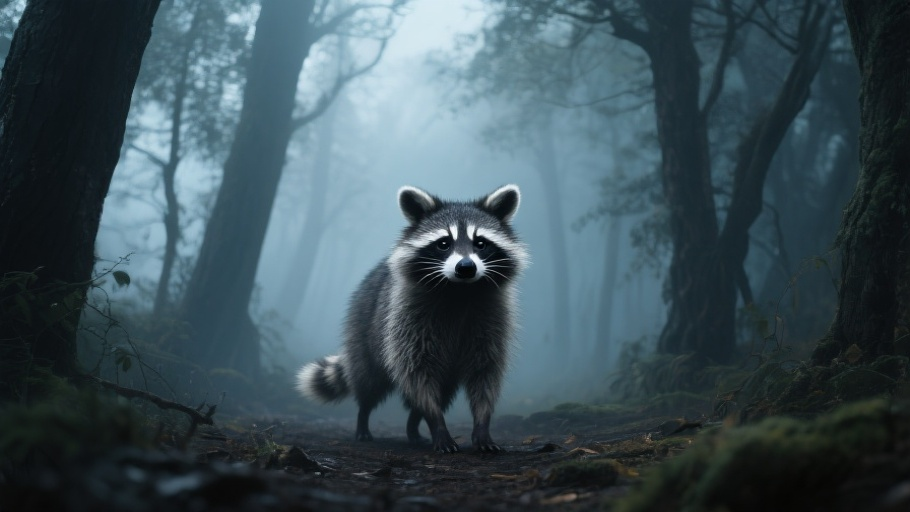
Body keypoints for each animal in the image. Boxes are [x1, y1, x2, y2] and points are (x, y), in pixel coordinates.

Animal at [296, 184, 527, 453]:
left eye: (480, 243)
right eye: (444, 243)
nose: (466, 267)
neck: (459, 290)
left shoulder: (491, 321)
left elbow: (485, 374)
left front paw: (482, 424)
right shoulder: (407, 321)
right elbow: (418, 373)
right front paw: (437, 423)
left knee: (443, 391)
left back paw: (413, 424)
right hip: (364, 330)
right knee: (369, 383)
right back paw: (364, 419)